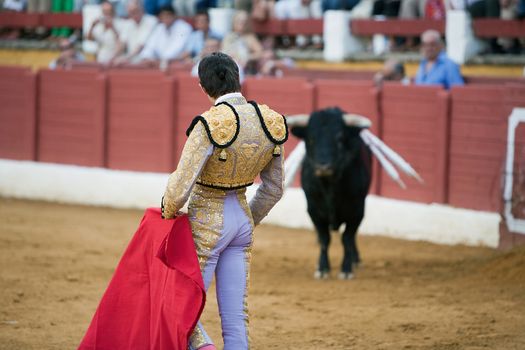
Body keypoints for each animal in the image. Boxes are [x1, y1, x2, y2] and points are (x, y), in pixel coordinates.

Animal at [288, 106, 370, 278]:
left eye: (339, 138)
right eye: (311, 139)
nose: (323, 167)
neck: (330, 186)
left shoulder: (357, 211)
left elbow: (347, 238)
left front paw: (346, 269)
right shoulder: (313, 210)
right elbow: (325, 239)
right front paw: (322, 268)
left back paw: (355, 260)